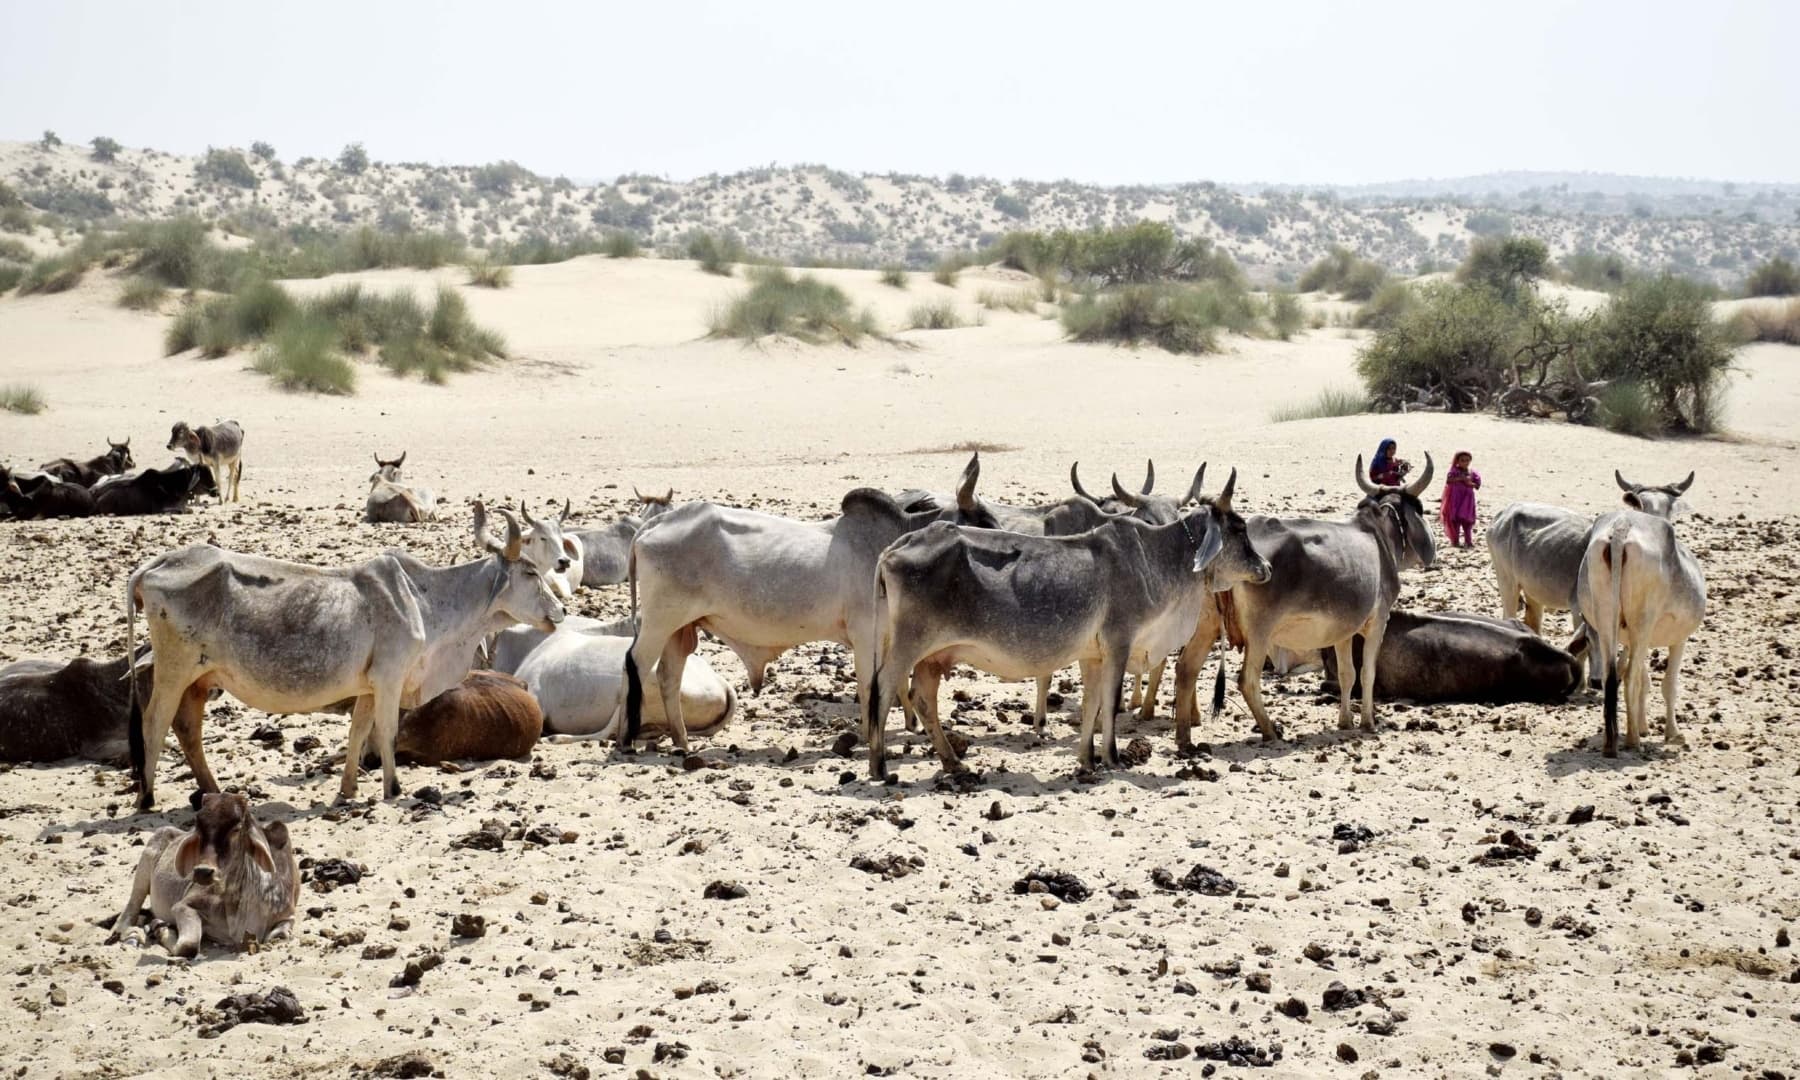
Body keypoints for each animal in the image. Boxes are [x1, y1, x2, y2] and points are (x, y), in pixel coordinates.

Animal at [129, 507, 561, 810]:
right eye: (530, 573)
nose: (558, 611)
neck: (422, 600)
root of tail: (154, 565)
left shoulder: (368, 687)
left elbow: (358, 733)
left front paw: (349, 788)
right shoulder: (389, 679)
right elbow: (386, 733)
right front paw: (392, 788)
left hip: (200, 678)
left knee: (187, 729)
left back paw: (212, 790)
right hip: (174, 668)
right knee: (155, 722)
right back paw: (147, 797)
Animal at [630, 451, 1000, 756]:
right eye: (983, 522)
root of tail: (655, 524)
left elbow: (897, 682)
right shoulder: (865, 636)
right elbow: (870, 686)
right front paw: (867, 737)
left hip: (680, 628)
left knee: (669, 675)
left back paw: (681, 741)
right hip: (660, 621)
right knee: (637, 663)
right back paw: (628, 739)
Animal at [867, 468, 1267, 770]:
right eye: (1239, 528)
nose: (1265, 567)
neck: (1156, 558)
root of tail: (896, 547)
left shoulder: (1092, 656)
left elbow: (1091, 704)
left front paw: (1087, 759)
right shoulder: (1119, 644)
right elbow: (1110, 701)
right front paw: (1112, 757)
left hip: (933, 655)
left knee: (922, 697)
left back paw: (953, 762)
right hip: (908, 644)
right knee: (883, 688)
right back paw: (880, 766)